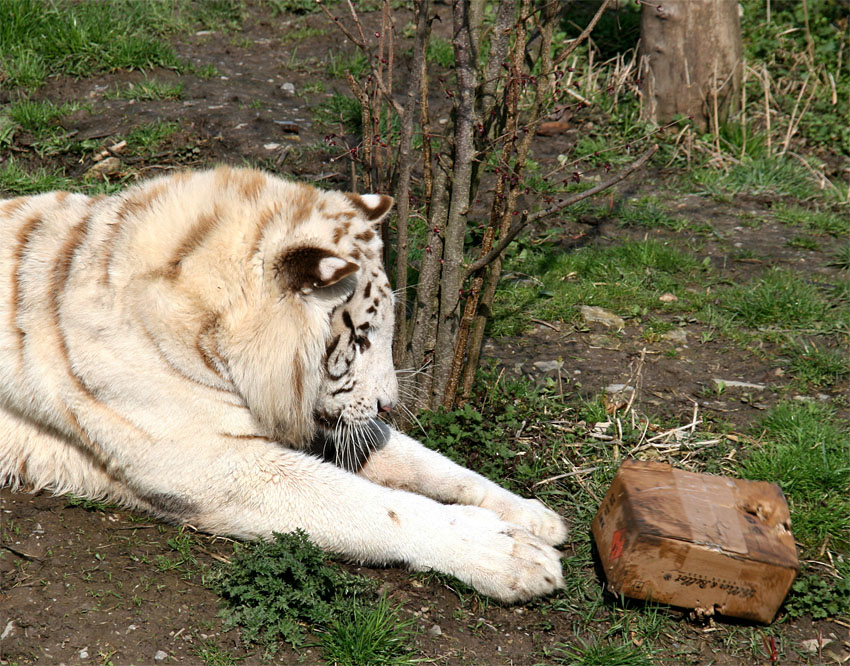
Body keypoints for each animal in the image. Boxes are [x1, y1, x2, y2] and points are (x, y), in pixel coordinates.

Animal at [1, 165, 568, 596]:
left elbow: (428, 463)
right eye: (361, 336)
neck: (206, 324)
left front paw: (533, 516)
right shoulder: (218, 462)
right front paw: (512, 554)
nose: (388, 404)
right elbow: (379, 508)